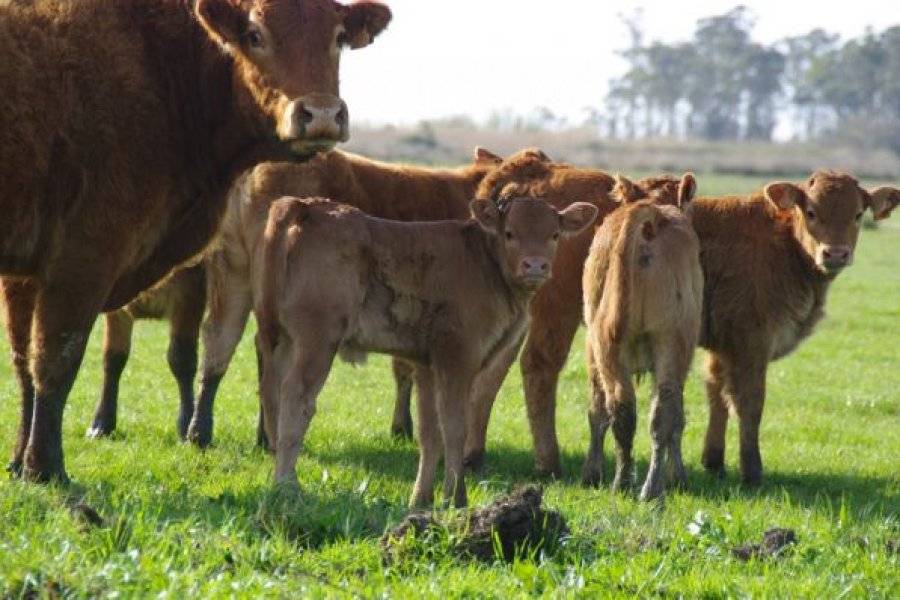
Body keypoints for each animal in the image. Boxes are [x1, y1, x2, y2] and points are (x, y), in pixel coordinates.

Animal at [1, 0, 392, 482]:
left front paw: (19, 462)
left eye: (338, 37)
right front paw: (46, 468)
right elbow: (56, 361)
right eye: (255, 34)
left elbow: (25, 363)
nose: (320, 115)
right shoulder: (85, 255)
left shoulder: (27, 271)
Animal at [256, 197, 600, 506]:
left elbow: (429, 432)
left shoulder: (426, 366)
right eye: (510, 233)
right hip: (317, 342)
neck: (483, 263)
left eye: (554, 235)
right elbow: (455, 428)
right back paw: (288, 485)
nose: (535, 266)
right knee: (297, 399)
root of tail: (308, 207)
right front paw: (456, 497)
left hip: (282, 340)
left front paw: (421, 499)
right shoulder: (457, 359)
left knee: (272, 392)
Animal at [576, 175, 704, 502]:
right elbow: (678, 420)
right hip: (671, 341)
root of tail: (652, 218)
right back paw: (652, 488)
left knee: (622, 410)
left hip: (607, 346)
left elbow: (597, 411)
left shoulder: (592, 350)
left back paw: (623, 483)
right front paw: (679, 477)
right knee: (662, 413)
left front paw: (591, 473)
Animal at [692, 171, 896, 486]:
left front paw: (714, 463)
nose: (835, 254)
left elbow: (717, 395)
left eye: (858, 214)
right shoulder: (751, 342)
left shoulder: (722, 346)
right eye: (811, 212)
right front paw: (752, 472)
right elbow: (750, 402)